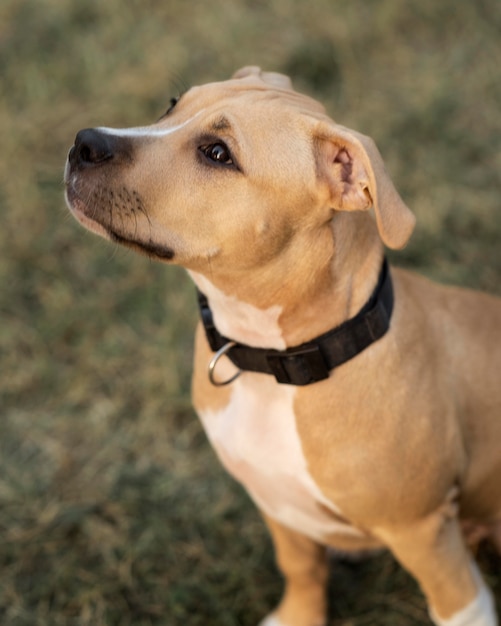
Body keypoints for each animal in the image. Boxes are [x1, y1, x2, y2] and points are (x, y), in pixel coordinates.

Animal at [65, 66, 500, 620]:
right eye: (172, 105)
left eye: (217, 153)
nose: (83, 143)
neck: (275, 363)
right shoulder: (276, 501)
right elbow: (300, 567)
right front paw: (298, 616)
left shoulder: (424, 533)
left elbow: (458, 605)